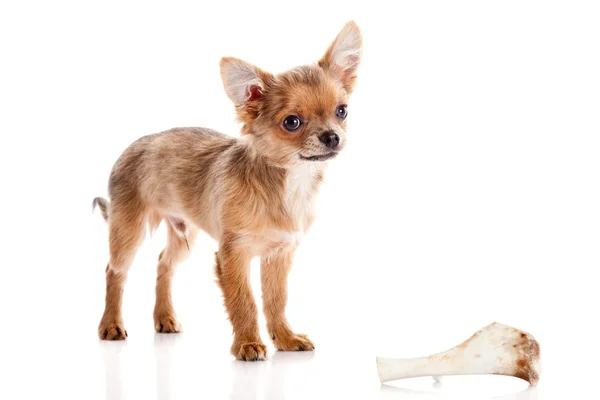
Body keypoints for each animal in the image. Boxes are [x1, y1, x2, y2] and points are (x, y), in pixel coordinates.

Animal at [92, 20, 360, 360]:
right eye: (292, 122)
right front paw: (248, 344)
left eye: (342, 111)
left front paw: (285, 338)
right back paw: (111, 325)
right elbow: (244, 302)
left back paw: (164, 317)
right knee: (114, 272)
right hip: (128, 232)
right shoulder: (233, 255)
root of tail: (131, 147)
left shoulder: (279, 255)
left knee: (164, 263)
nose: (332, 136)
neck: (287, 184)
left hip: (184, 235)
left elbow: (276, 300)